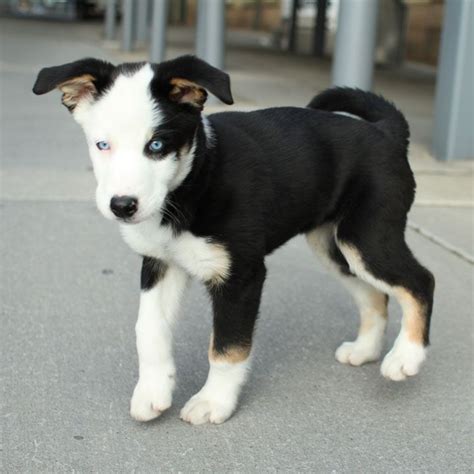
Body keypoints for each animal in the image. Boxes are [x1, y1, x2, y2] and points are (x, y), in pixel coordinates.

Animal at [32, 55, 434, 426]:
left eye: (157, 145)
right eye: (102, 144)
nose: (122, 206)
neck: (193, 183)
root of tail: (385, 132)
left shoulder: (242, 275)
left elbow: (227, 347)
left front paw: (213, 402)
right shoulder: (161, 263)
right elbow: (148, 329)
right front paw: (152, 391)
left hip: (366, 237)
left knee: (420, 281)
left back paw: (406, 356)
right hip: (333, 246)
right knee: (376, 295)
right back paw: (365, 350)